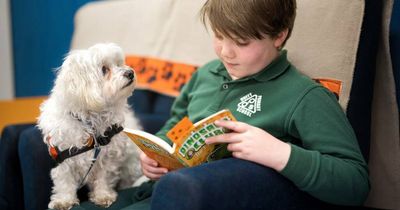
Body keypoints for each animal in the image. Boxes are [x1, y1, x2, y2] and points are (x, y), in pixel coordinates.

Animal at [37, 42, 143, 210]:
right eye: (104, 69)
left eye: (119, 64)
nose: (130, 72)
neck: (90, 122)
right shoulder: (61, 156)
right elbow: (64, 181)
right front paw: (64, 200)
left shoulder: (108, 158)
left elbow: (104, 177)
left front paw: (103, 195)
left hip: (131, 165)